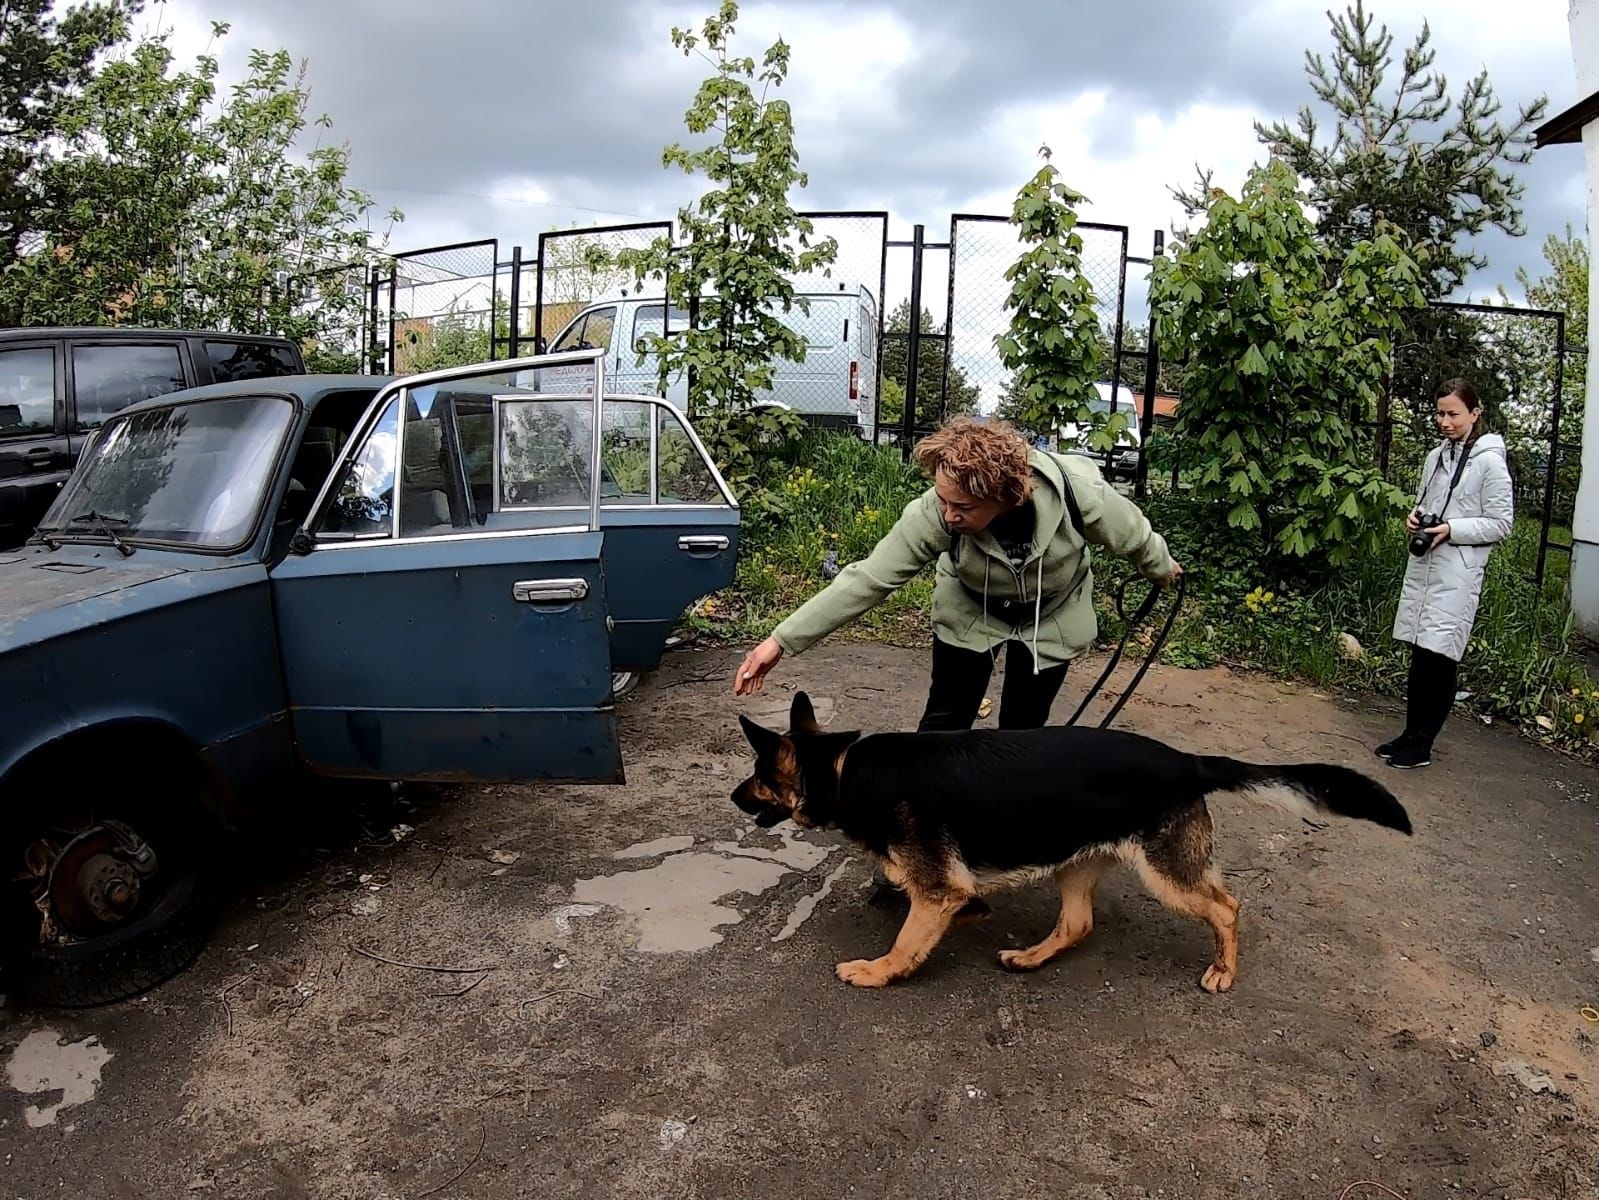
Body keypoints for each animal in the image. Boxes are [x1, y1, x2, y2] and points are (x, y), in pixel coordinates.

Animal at [729, 694, 1413, 998]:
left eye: (758, 775)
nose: (734, 798)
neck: (845, 770)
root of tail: (1188, 762)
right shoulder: (948, 892)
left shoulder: (937, 891)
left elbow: (905, 941)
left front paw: (877, 971)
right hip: (1074, 863)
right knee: (1079, 923)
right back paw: (1031, 957)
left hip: (1167, 874)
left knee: (1227, 907)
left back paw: (1223, 968)